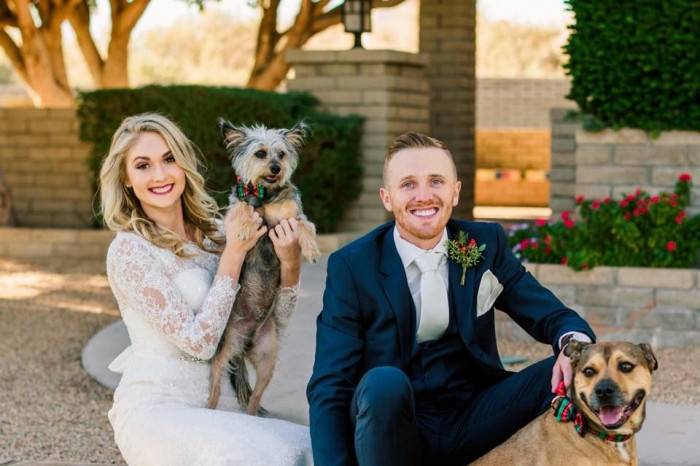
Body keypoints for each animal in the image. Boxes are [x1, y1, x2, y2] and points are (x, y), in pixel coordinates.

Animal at [205, 118, 320, 414]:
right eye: (260, 154)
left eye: (281, 154)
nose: (276, 168)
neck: (264, 196)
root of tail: (246, 344)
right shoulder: (235, 209)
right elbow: (242, 209)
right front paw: (246, 227)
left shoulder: (292, 217)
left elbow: (306, 224)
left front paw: (312, 248)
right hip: (225, 348)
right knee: (216, 384)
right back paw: (209, 408)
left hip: (268, 358)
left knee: (254, 398)